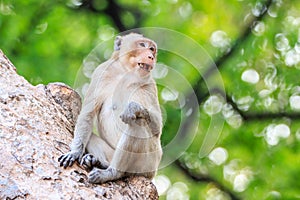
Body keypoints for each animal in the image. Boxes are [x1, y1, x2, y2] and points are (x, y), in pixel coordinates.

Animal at [57, 32, 163, 184]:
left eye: (152, 49)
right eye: (143, 45)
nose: (151, 56)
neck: (124, 73)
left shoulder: (149, 84)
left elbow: (157, 127)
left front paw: (132, 108)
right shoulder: (100, 72)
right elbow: (87, 115)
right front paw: (75, 152)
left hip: (148, 163)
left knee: (137, 123)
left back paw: (113, 172)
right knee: (90, 136)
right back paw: (98, 162)